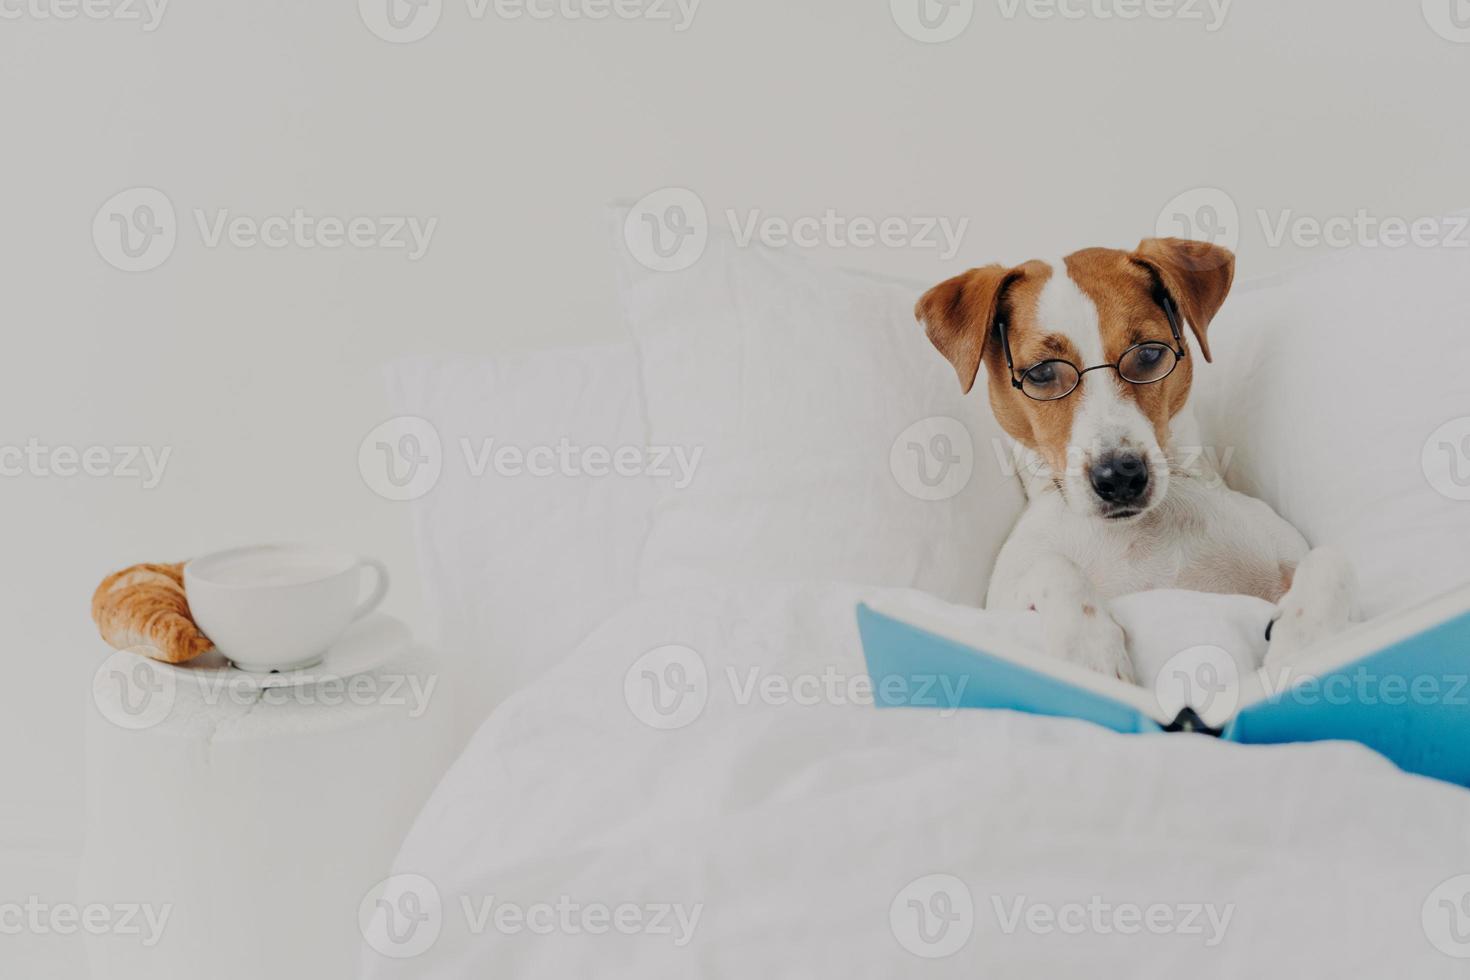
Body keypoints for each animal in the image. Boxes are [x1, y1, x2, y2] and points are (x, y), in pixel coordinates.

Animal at [917, 238, 1352, 681]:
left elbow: (1330, 559)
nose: (1120, 476)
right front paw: (1088, 647)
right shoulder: (1003, 602)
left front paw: (1307, 639)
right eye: (1040, 373)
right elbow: (1053, 566)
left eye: (1147, 354)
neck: (1142, 527)